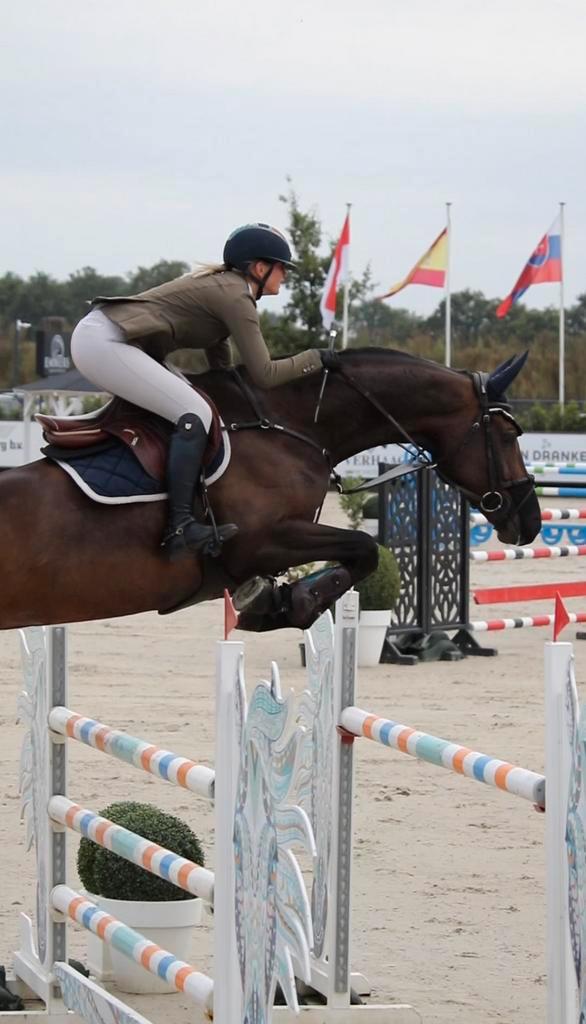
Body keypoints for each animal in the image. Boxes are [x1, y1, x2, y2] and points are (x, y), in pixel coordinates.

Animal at [0, 348, 540, 632]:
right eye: (508, 434)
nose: (529, 520)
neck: (293, 427)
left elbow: (361, 551)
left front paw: (275, 601)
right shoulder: (261, 541)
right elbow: (365, 548)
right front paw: (289, 604)